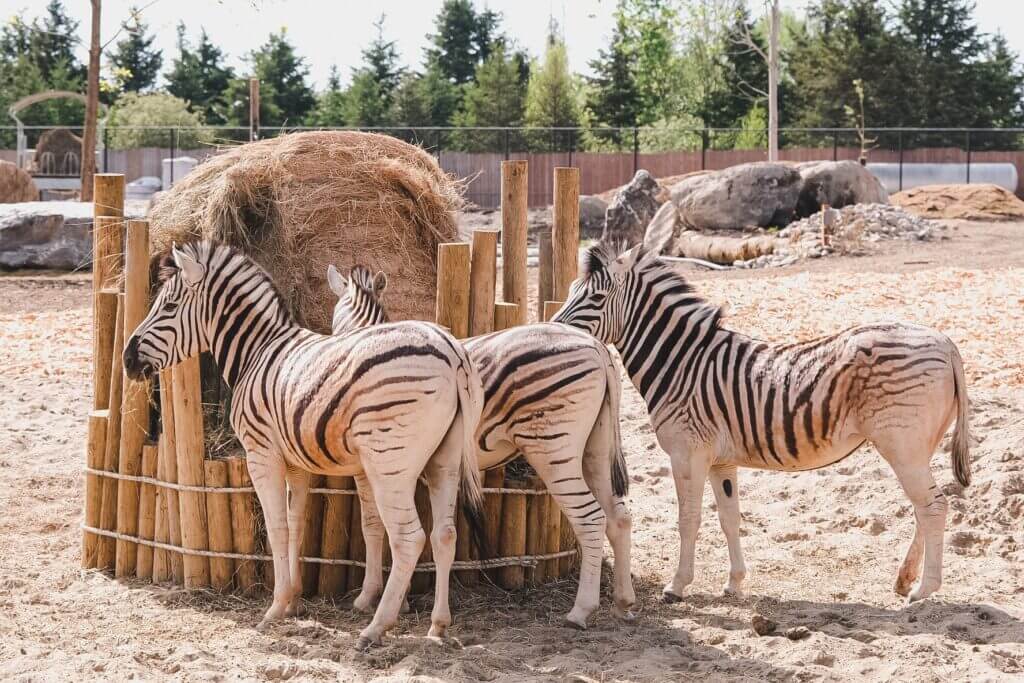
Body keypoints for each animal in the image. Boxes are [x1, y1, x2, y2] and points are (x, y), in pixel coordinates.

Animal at [122, 241, 487, 649]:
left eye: (168, 306)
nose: (127, 360)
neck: (256, 351)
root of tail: (451, 350)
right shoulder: (295, 461)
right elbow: (296, 523)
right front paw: (294, 599)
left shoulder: (261, 453)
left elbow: (277, 526)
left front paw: (275, 607)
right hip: (446, 458)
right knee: (445, 534)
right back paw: (438, 625)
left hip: (389, 461)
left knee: (409, 538)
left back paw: (376, 627)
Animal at [327, 263, 636, 628]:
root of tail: (597, 348)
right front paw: (399, 601)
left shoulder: (373, 464)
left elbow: (373, 526)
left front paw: (369, 598)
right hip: (596, 448)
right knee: (619, 516)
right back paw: (623, 601)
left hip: (552, 447)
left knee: (591, 518)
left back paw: (581, 610)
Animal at [551, 241, 971, 604]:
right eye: (570, 290)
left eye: (596, 299)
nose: (553, 331)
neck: (682, 363)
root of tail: (945, 341)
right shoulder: (720, 460)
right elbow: (729, 518)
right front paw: (734, 583)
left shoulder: (687, 453)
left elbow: (689, 519)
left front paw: (677, 586)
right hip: (917, 447)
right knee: (922, 508)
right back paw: (905, 579)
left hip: (902, 445)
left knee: (934, 506)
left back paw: (924, 590)